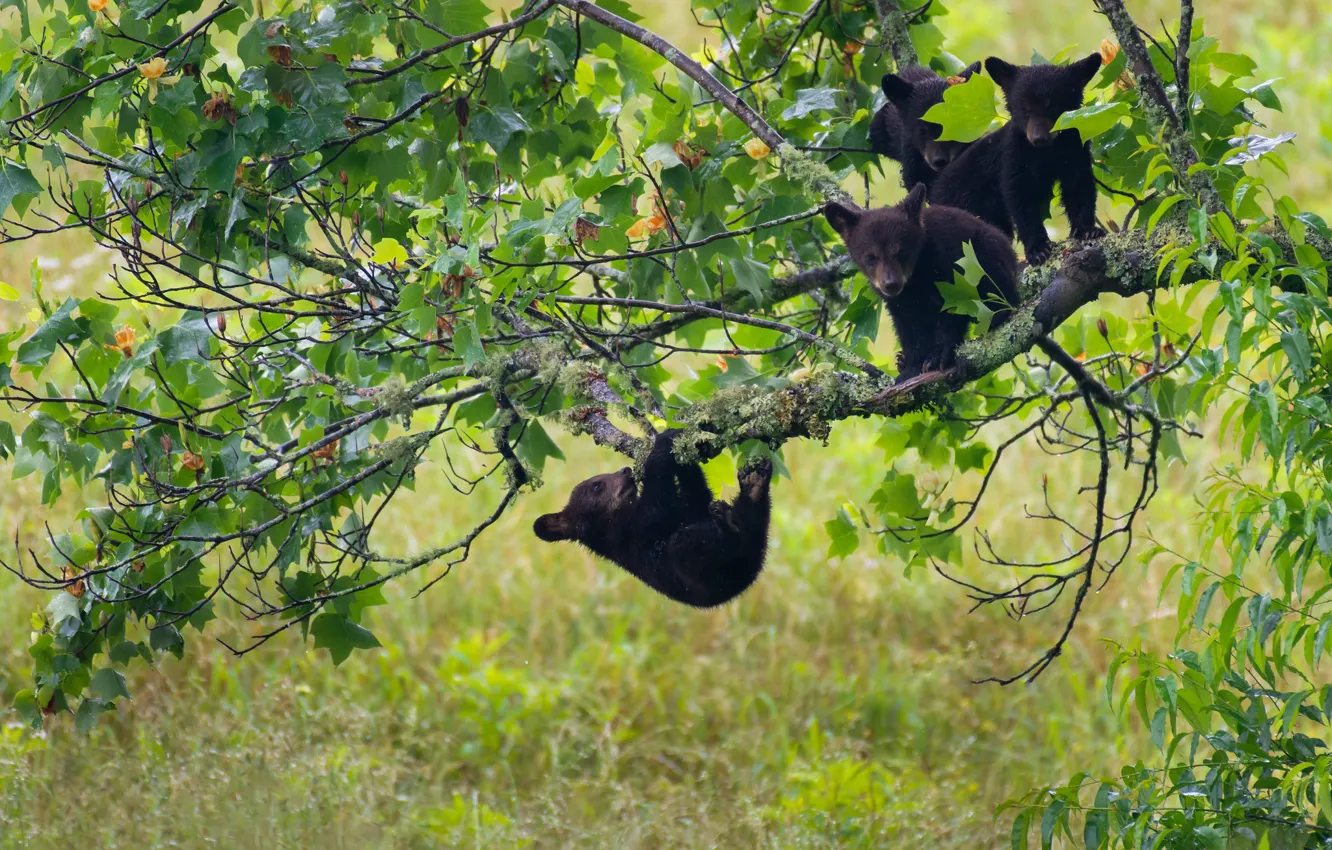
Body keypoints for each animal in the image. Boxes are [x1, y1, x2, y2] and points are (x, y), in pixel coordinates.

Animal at [533, 430, 773, 609]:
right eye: (597, 485)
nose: (625, 470)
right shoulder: (630, 533)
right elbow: (658, 502)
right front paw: (664, 440)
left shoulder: (681, 512)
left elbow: (697, 501)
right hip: (708, 572)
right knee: (687, 543)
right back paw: (729, 523)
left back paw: (754, 486)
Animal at [823, 183, 1021, 379]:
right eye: (871, 257)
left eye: (901, 252)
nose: (891, 284)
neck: (916, 278)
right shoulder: (899, 302)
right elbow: (909, 327)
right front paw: (911, 367)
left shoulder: (951, 271)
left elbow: (952, 310)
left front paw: (940, 355)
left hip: (986, 252)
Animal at [929, 53, 1106, 265]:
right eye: (1024, 109)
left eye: (1053, 106)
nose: (1038, 138)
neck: (1047, 153)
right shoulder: (1014, 157)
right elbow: (1020, 199)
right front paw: (1038, 249)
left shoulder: (1075, 150)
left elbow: (1078, 186)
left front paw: (1088, 230)